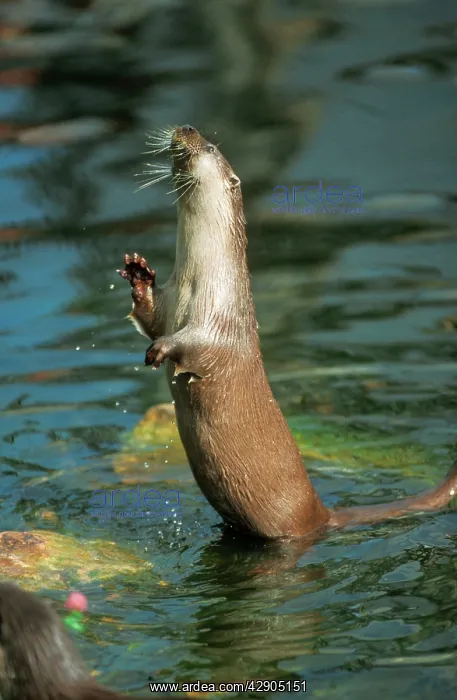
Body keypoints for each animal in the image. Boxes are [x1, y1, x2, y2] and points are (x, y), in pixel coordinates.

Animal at [119, 124, 457, 540]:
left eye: (211, 147)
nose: (186, 128)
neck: (198, 281)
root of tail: (321, 513)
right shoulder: (168, 305)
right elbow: (149, 317)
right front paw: (138, 275)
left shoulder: (219, 320)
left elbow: (194, 345)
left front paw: (161, 349)